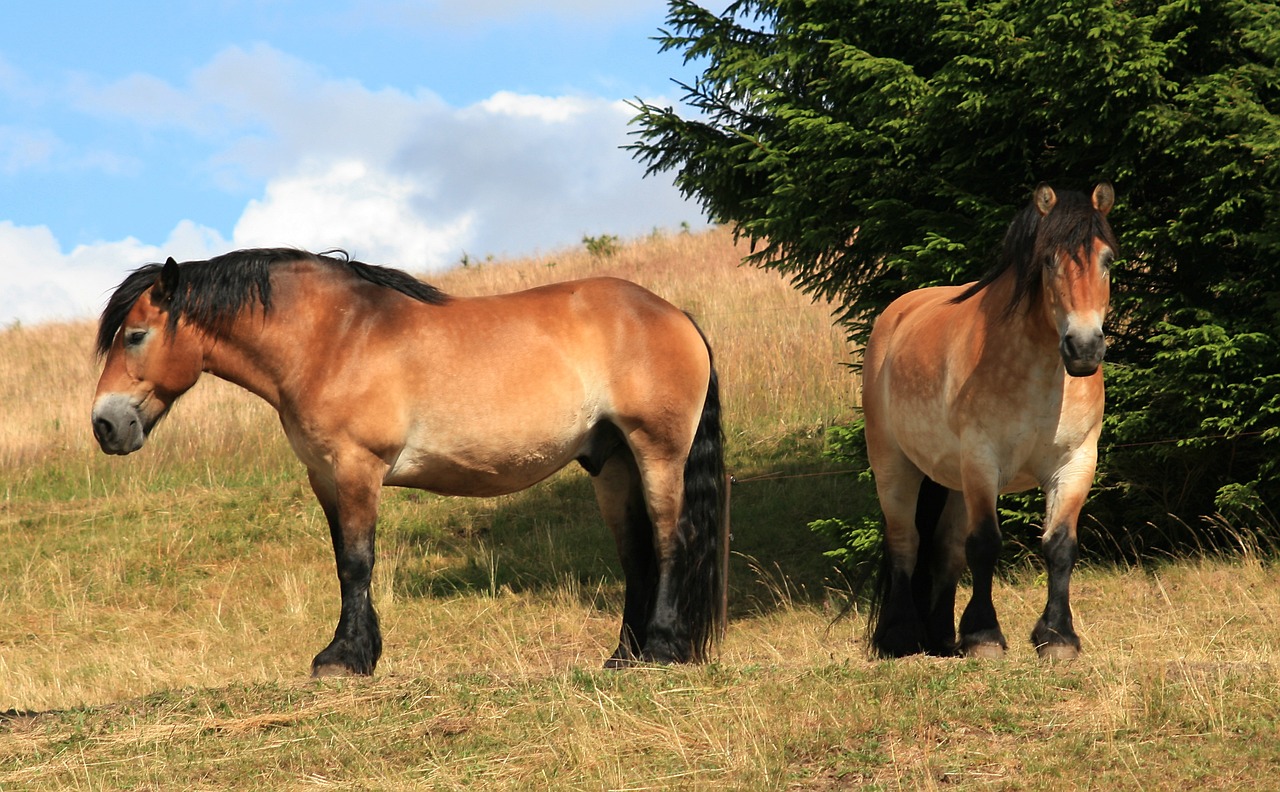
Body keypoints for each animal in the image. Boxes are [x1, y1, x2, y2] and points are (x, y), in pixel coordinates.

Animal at [93, 250, 727, 680]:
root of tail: (674, 314)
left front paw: (344, 659)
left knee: (670, 540)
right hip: (612, 463)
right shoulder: (324, 477)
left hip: (657, 450)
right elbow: (343, 563)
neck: (334, 337)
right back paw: (624, 657)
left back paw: (662, 649)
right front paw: (354, 652)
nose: (105, 425)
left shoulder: (357, 468)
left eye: (136, 335)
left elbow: (357, 563)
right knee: (636, 554)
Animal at [860, 182, 1121, 660]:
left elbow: (1060, 545)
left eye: (1107, 260)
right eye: (1048, 260)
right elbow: (984, 544)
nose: (1084, 348)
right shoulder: (983, 461)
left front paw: (1058, 637)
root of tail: (896, 315)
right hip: (894, 465)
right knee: (906, 542)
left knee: (943, 549)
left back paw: (942, 637)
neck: (1041, 372)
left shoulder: (1076, 462)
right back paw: (901, 636)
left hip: (952, 479)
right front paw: (984, 636)